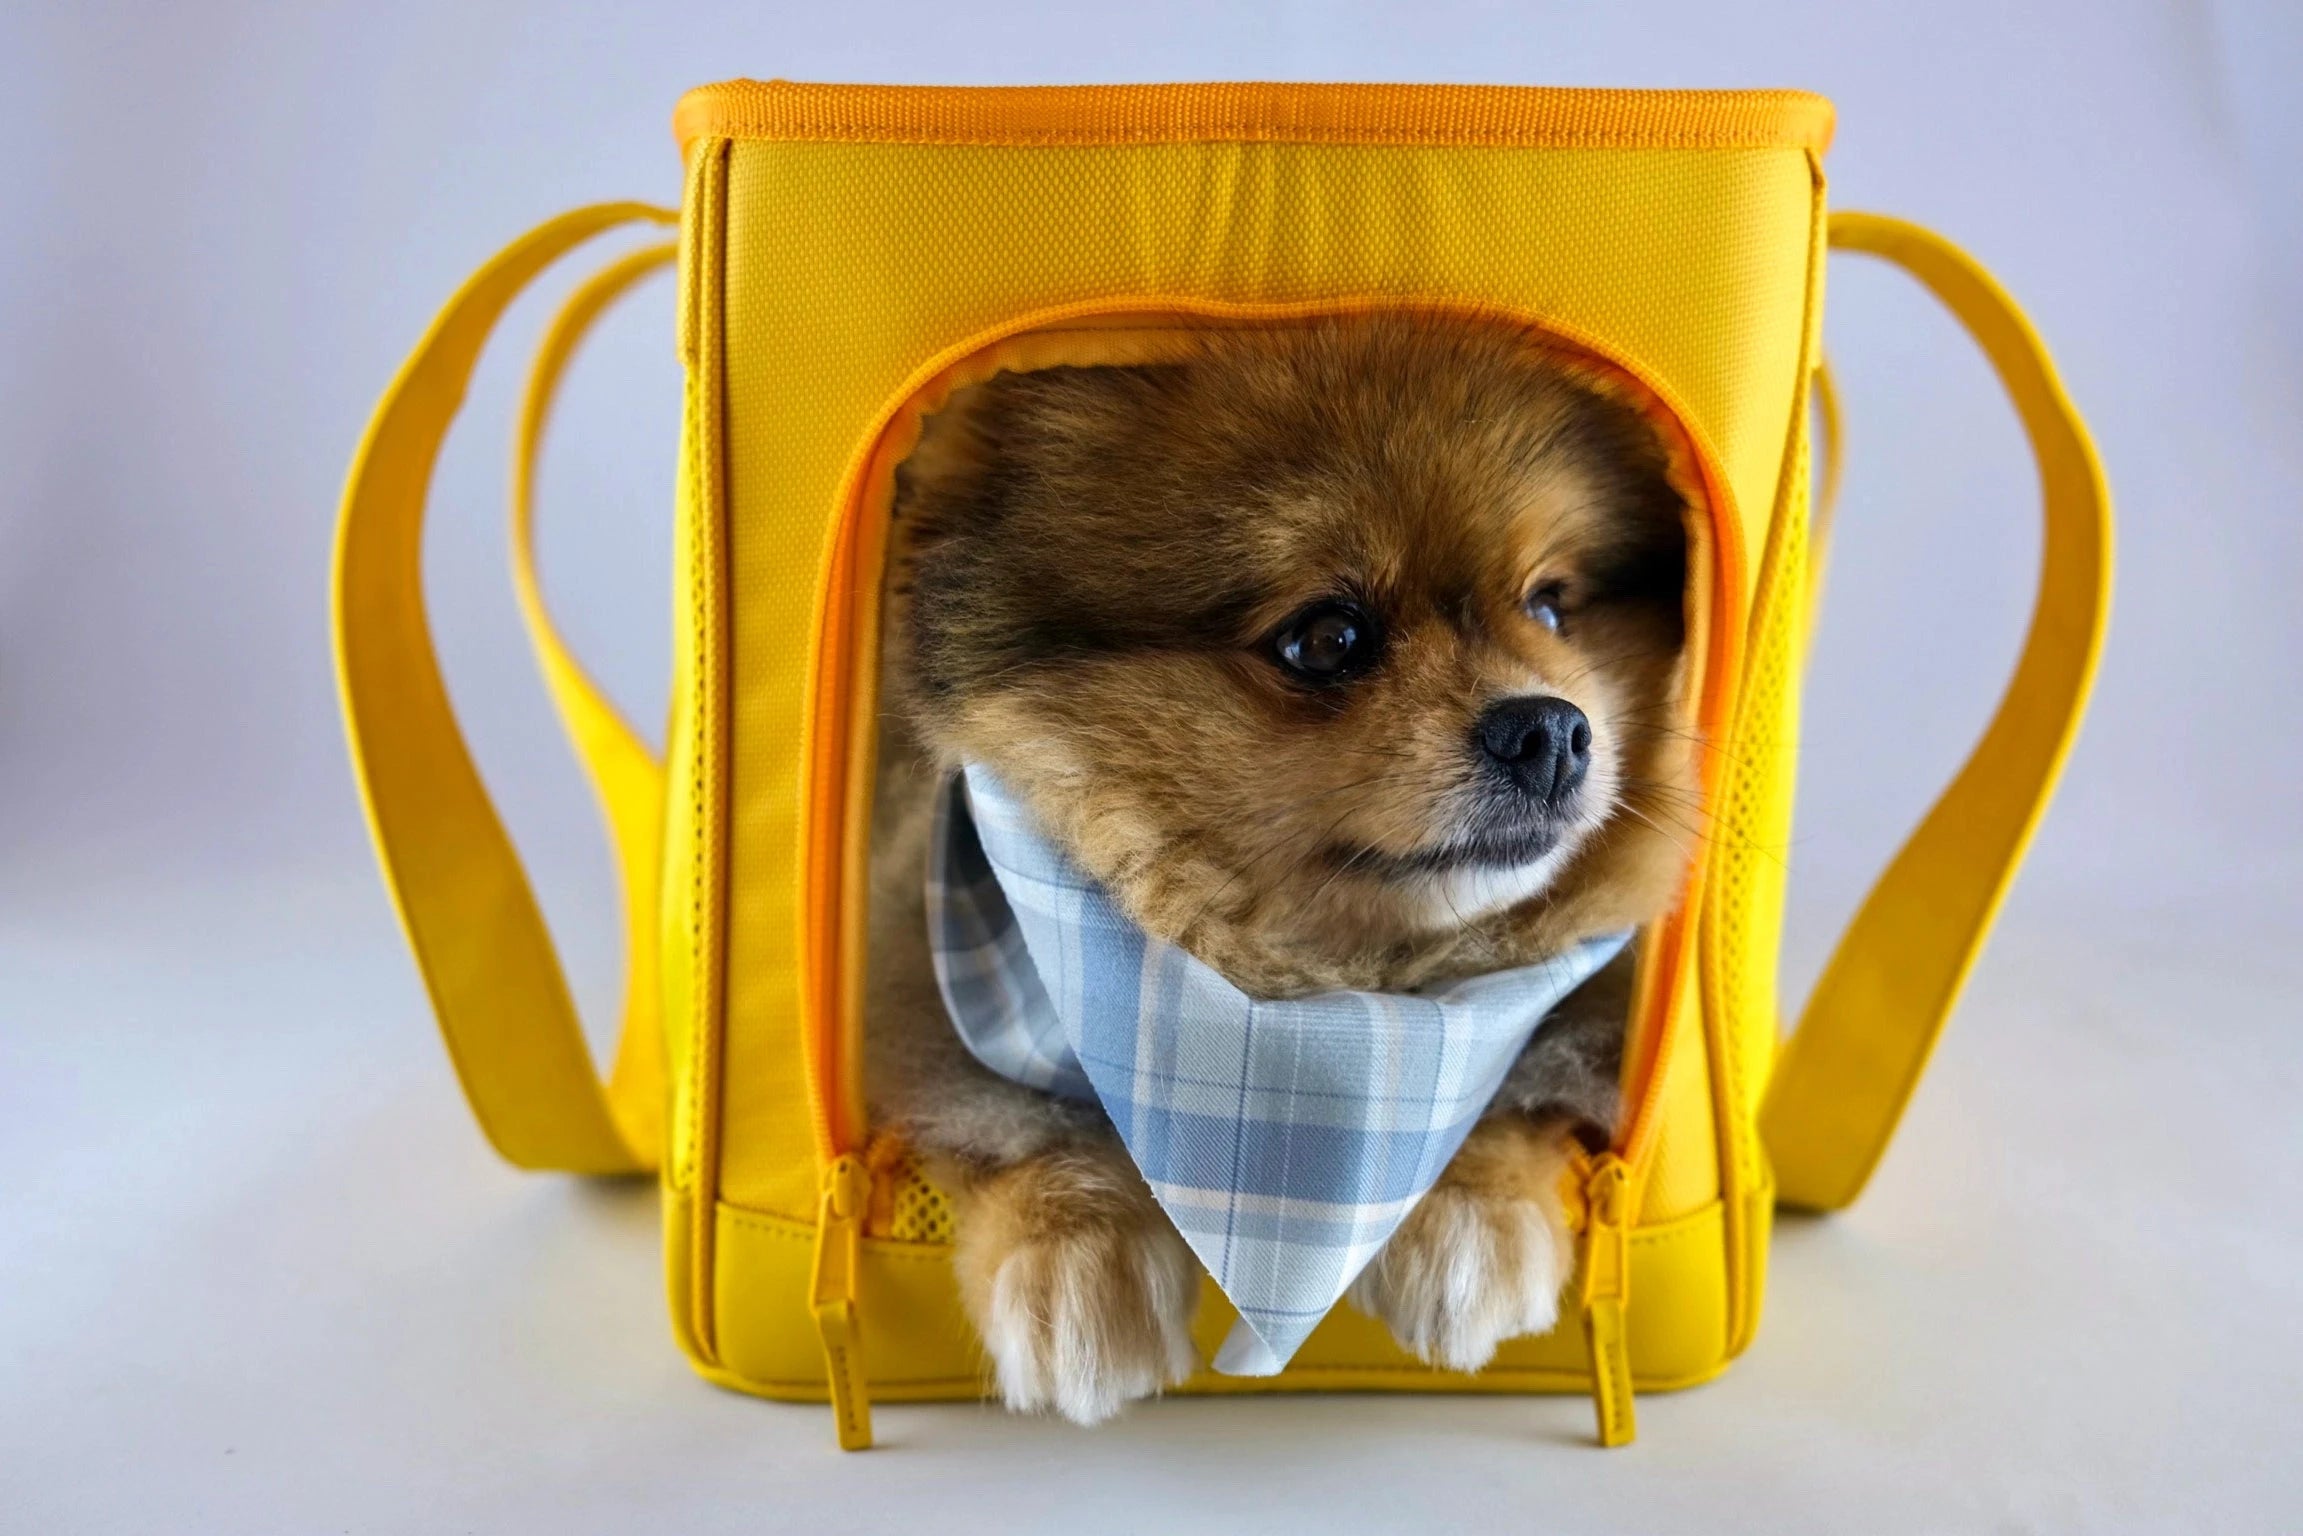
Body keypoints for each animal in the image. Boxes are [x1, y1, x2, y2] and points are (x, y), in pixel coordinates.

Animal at [864, 315, 1697, 1424]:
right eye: (1327, 638)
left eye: (1552, 608)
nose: (1552, 732)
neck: (1333, 995)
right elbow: (1009, 1112)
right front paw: (1073, 1254)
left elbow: (1516, 1068)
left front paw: (1469, 1213)